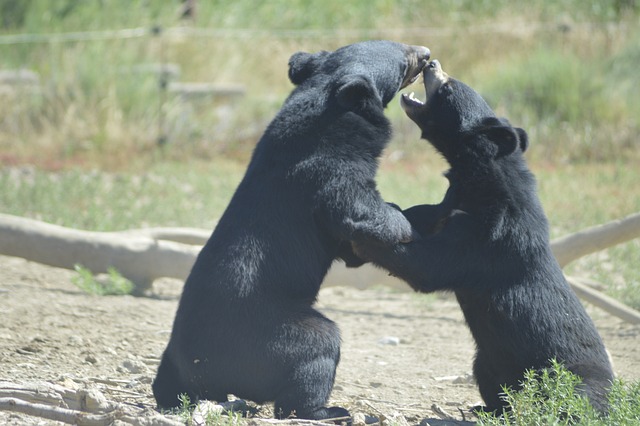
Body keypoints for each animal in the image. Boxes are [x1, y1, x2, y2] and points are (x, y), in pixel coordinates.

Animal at [151, 40, 430, 422]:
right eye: (404, 57)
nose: (427, 54)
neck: (327, 101)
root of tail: (199, 373)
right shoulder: (328, 170)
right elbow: (357, 209)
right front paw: (404, 224)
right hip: (270, 336)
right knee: (318, 348)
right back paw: (327, 410)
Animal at [356, 59, 616, 412]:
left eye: (449, 87)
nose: (431, 62)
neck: (478, 179)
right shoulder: (451, 203)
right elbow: (421, 216)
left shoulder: (490, 238)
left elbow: (431, 266)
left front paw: (359, 233)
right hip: (486, 358)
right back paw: (485, 409)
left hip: (570, 379)